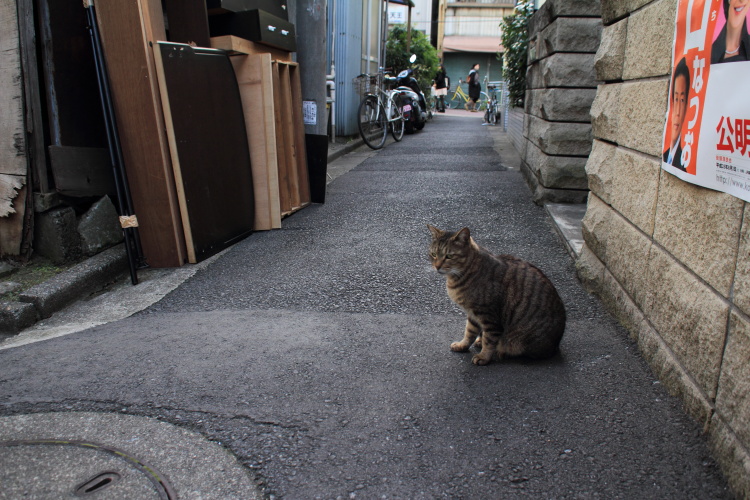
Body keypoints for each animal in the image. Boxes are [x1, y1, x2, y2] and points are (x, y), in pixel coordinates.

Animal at [426, 225, 568, 366]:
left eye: (449, 256)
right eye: (433, 254)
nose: (437, 266)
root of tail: (556, 345)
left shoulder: (489, 316)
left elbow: (489, 340)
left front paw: (483, 357)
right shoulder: (473, 313)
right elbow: (469, 332)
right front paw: (463, 345)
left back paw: (502, 351)